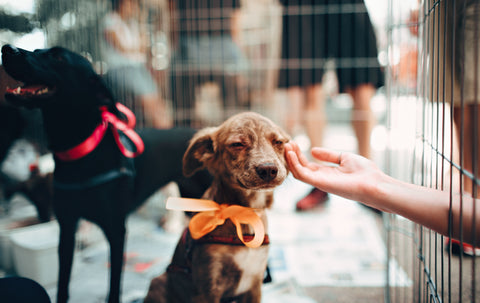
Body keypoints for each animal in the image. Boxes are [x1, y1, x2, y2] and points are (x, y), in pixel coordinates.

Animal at [1, 45, 211, 303]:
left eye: (58, 57)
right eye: (38, 49)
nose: (7, 49)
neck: (80, 153)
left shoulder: (116, 230)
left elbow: (114, 286)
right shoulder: (67, 228)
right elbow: (63, 283)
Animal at [144, 113, 288, 302]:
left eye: (278, 142)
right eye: (237, 144)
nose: (269, 170)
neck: (244, 213)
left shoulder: (254, 284)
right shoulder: (208, 286)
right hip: (159, 282)